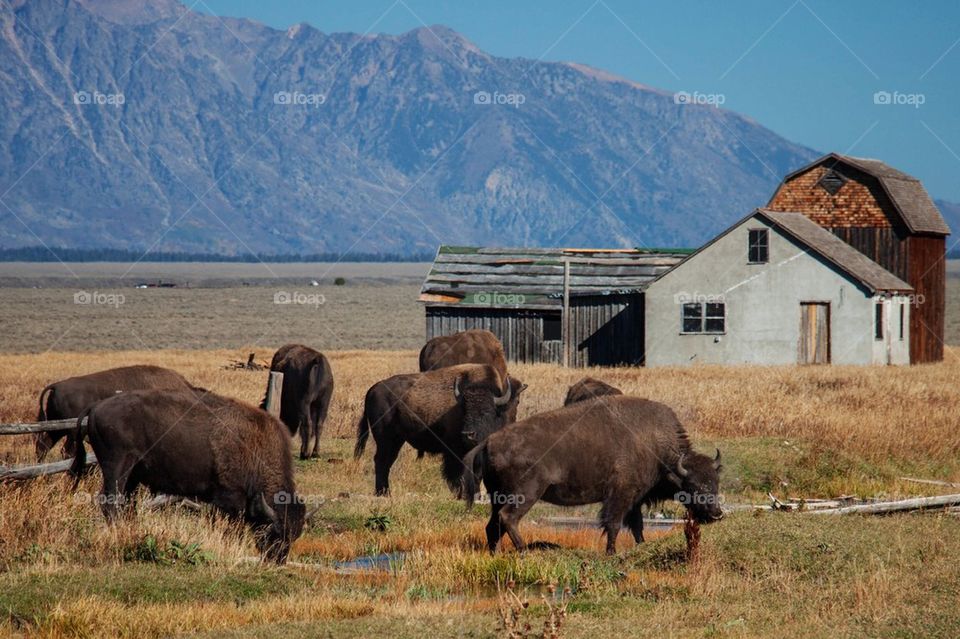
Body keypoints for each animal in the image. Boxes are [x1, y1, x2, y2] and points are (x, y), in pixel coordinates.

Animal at [71, 389, 306, 563]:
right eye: (275, 531)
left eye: (294, 535)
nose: (277, 560)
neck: (254, 447)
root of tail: (96, 406)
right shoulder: (229, 498)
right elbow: (231, 527)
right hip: (117, 467)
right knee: (110, 502)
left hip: (132, 476)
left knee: (126, 504)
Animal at [354, 364, 525, 496]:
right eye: (464, 410)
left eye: (487, 412)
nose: (468, 435)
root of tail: (373, 389)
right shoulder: (454, 451)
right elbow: (457, 474)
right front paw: (461, 494)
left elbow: (475, 474)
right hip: (385, 439)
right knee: (381, 461)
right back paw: (383, 493)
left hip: (397, 440)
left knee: (386, 462)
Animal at [461, 395, 723, 554]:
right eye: (692, 486)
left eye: (715, 483)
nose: (716, 513)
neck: (654, 444)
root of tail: (489, 441)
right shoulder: (620, 495)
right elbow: (614, 524)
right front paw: (611, 552)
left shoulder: (635, 499)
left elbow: (637, 526)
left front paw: (640, 546)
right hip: (526, 494)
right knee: (509, 518)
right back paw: (524, 551)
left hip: (497, 496)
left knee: (492, 525)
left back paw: (495, 554)